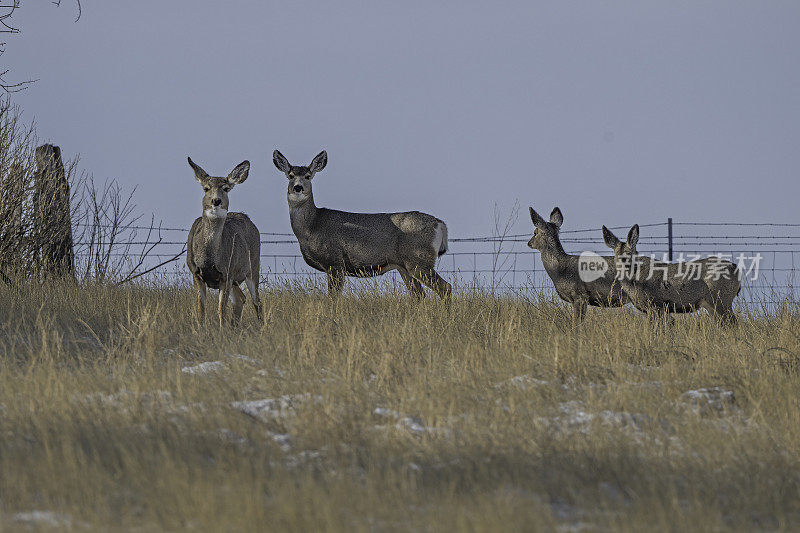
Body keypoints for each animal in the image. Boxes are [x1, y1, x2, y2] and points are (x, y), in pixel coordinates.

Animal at [184, 156, 262, 326]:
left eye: (226, 188)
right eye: (206, 188)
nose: (216, 201)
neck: (208, 259)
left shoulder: (226, 274)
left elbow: (221, 310)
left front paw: (221, 330)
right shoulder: (196, 274)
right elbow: (201, 310)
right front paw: (200, 329)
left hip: (253, 266)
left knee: (256, 301)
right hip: (236, 279)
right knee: (241, 298)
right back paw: (235, 326)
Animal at [272, 151, 450, 300]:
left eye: (308, 176)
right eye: (290, 175)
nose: (298, 187)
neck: (311, 227)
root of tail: (440, 224)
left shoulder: (335, 263)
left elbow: (333, 299)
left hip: (419, 259)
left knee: (445, 287)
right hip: (405, 265)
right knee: (419, 296)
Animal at [604, 224, 740, 324]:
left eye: (629, 253)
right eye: (615, 254)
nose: (623, 263)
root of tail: (736, 268)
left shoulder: (656, 305)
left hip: (721, 299)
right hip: (712, 304)